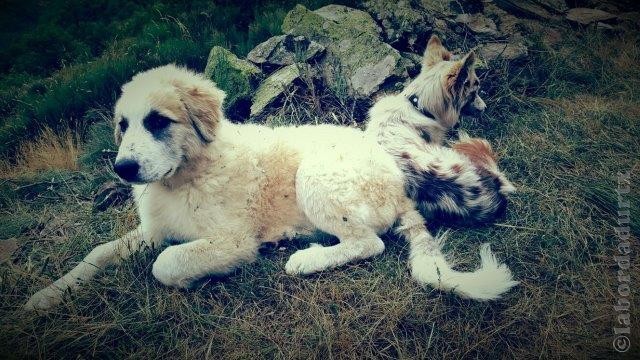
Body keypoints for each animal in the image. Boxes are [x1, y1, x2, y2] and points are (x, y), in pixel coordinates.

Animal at [23, 62, 520, 312]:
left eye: (158, 121)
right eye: (123, 125)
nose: (124, 169)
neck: (185, 176)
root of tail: (399, 184)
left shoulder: (231, 239)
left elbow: (165, 264)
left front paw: (192, 277)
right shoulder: (153, 229)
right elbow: (97, 253)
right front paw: (48, 295)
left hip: (315, 177)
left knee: (368, 243)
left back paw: (305, 258)